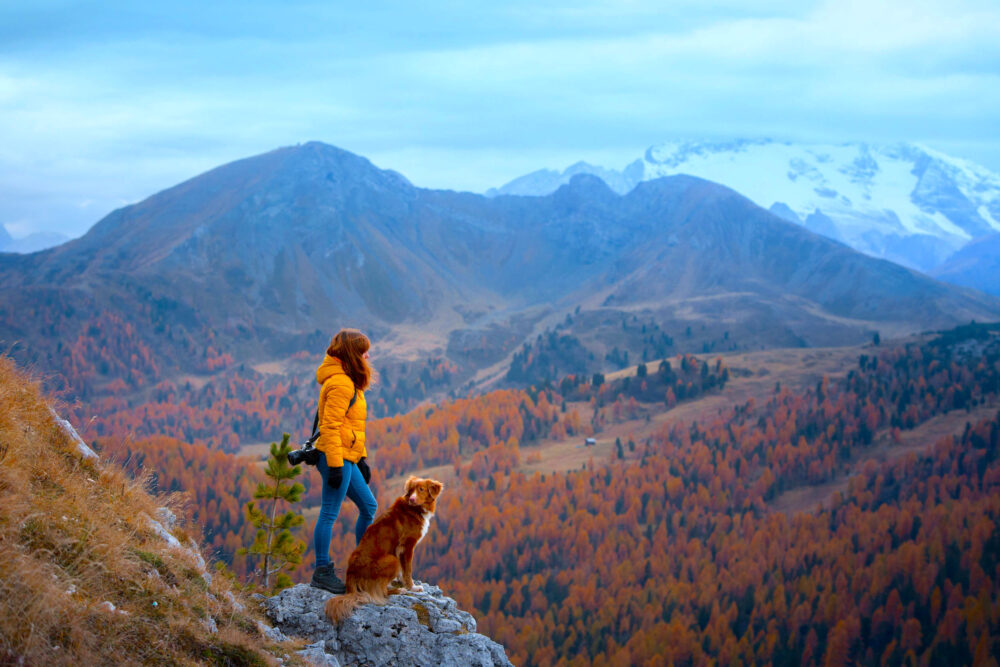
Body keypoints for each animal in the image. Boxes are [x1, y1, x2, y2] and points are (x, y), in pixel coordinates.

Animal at [326, 474, 444, 620]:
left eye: (421, 489)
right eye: (411, 490)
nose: (412, 499)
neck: (414, 509)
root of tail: (350, 574)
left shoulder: (399, 550)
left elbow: (403, 570)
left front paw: (399, 579)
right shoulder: (407, 546)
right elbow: (408, 570)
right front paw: (412, 587)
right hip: (391, 560)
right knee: (380, 592)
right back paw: (399, 590)